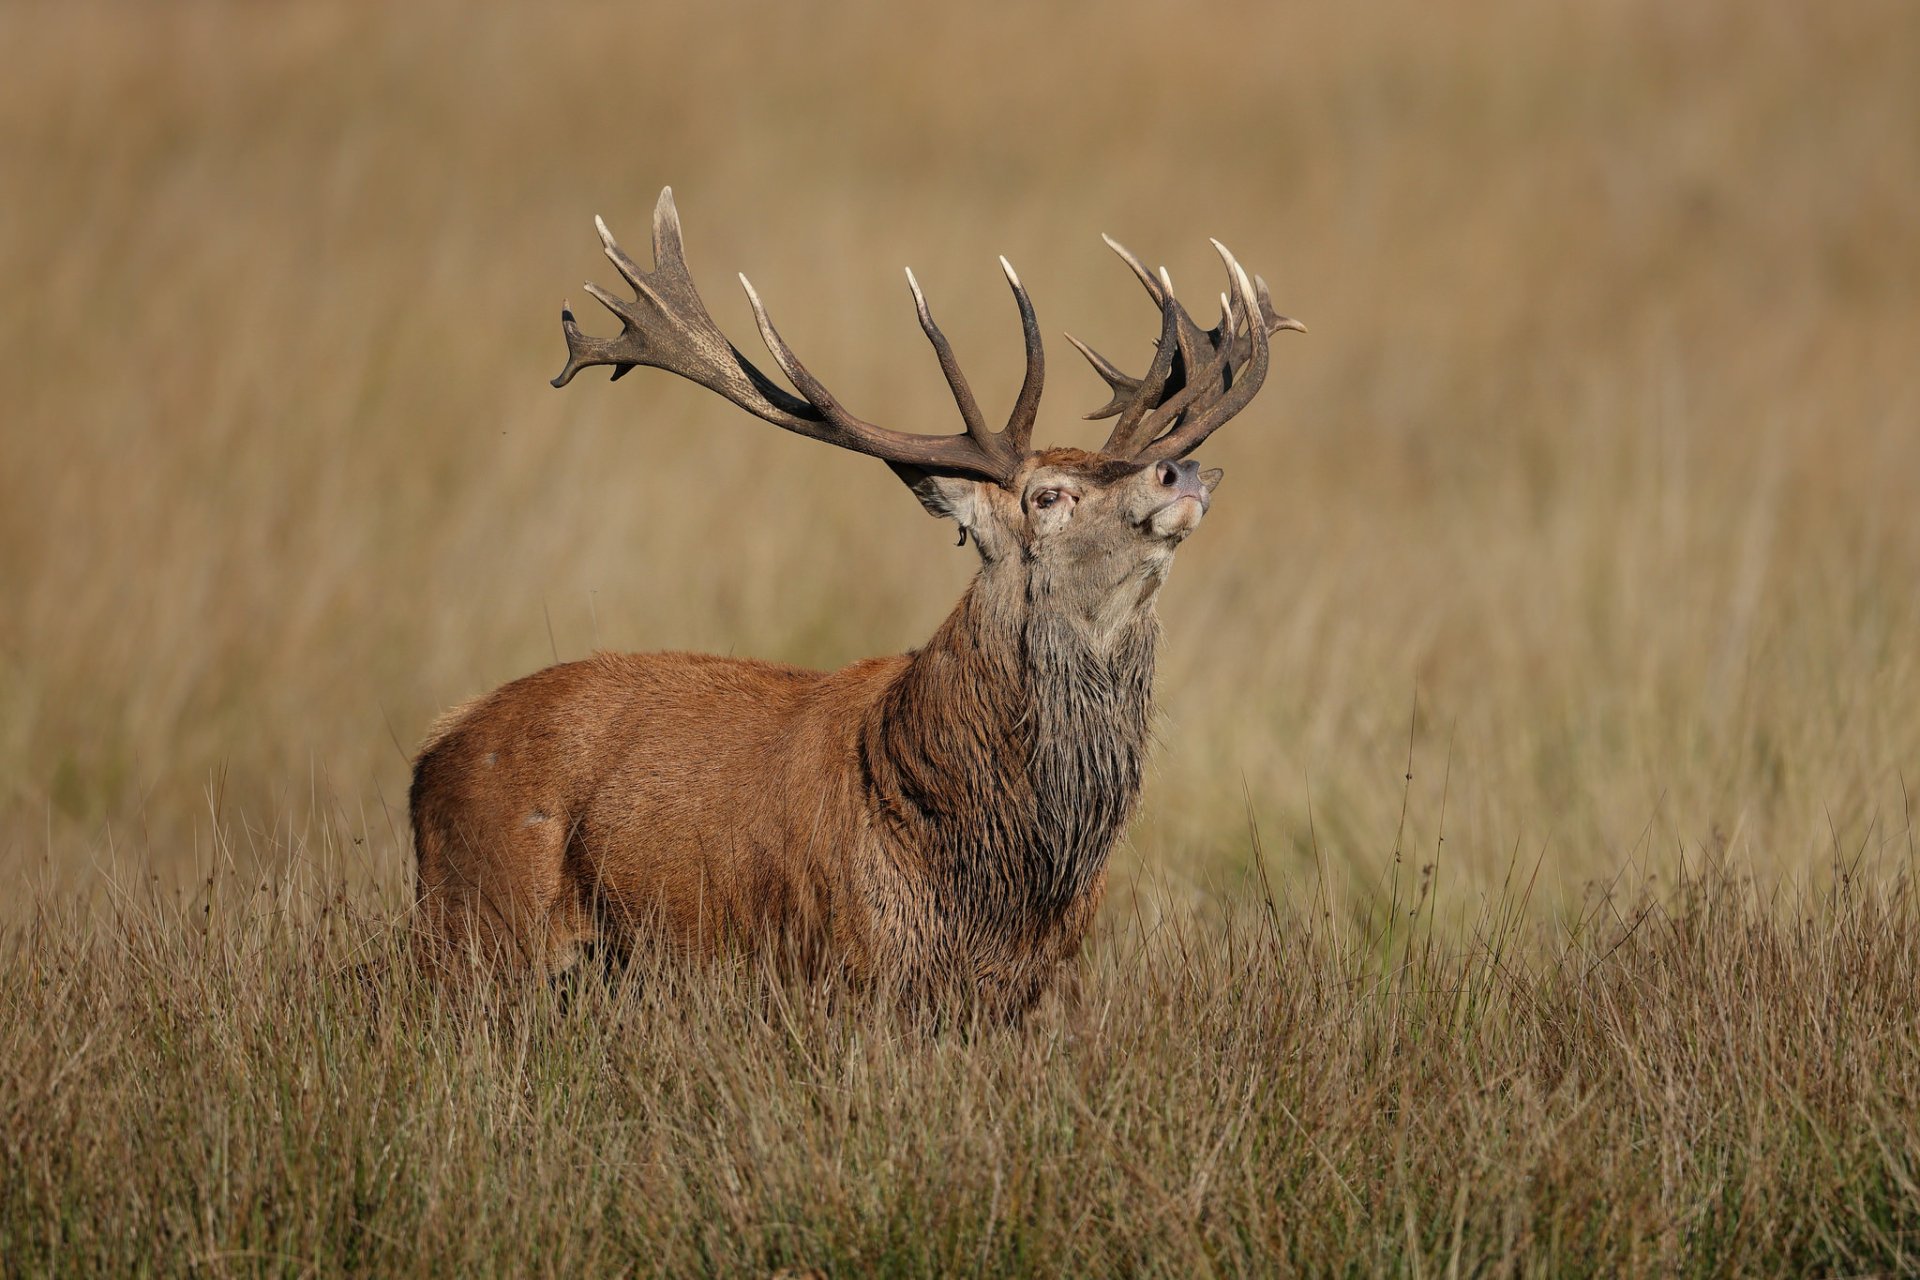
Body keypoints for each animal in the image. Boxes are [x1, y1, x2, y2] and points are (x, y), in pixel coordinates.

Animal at [409, 188, 1301, 1017]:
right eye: (1048, 496)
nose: (1182, 471)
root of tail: (432, 749)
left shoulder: (1018, 992)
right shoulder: (852, 967)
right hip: (477, 931)